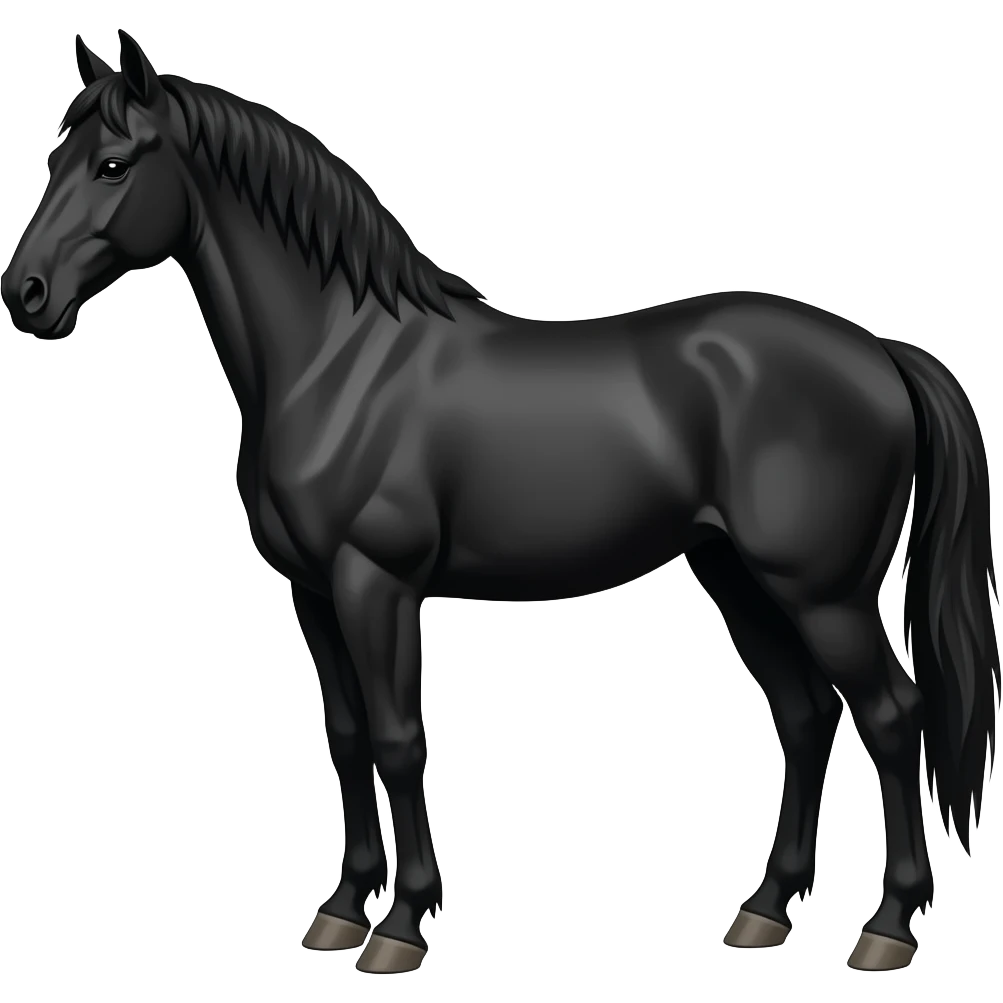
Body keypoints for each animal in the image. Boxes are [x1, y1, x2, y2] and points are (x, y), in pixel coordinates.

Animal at [2, 30, 998, 975]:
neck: (339, 359)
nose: (26, 295)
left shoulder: (377, 584)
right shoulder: (313, 591)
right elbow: (346, 735)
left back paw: (886, 928)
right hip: (737, 576)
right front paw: (339, 909)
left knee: (891, 717)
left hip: (822, 593)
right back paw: (763, 911)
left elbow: (399, 739)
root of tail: (880, 354)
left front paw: (400, 925)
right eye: (55, 156)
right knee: (804, 714)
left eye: (113, 164)